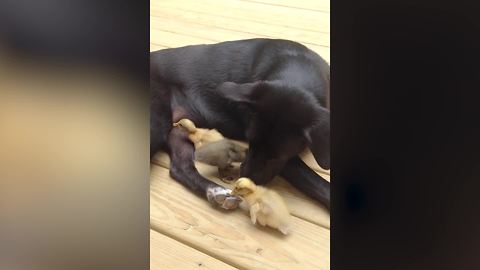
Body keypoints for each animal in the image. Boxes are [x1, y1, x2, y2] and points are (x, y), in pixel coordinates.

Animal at [150, 38, 330, 209]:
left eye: (276, 156)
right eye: (250, 140)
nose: (244, 180)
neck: (297, 64)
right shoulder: (289, 163)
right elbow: (319, 185)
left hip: (180, 129)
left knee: (180, 168)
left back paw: (215, 192)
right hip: (157, 127)